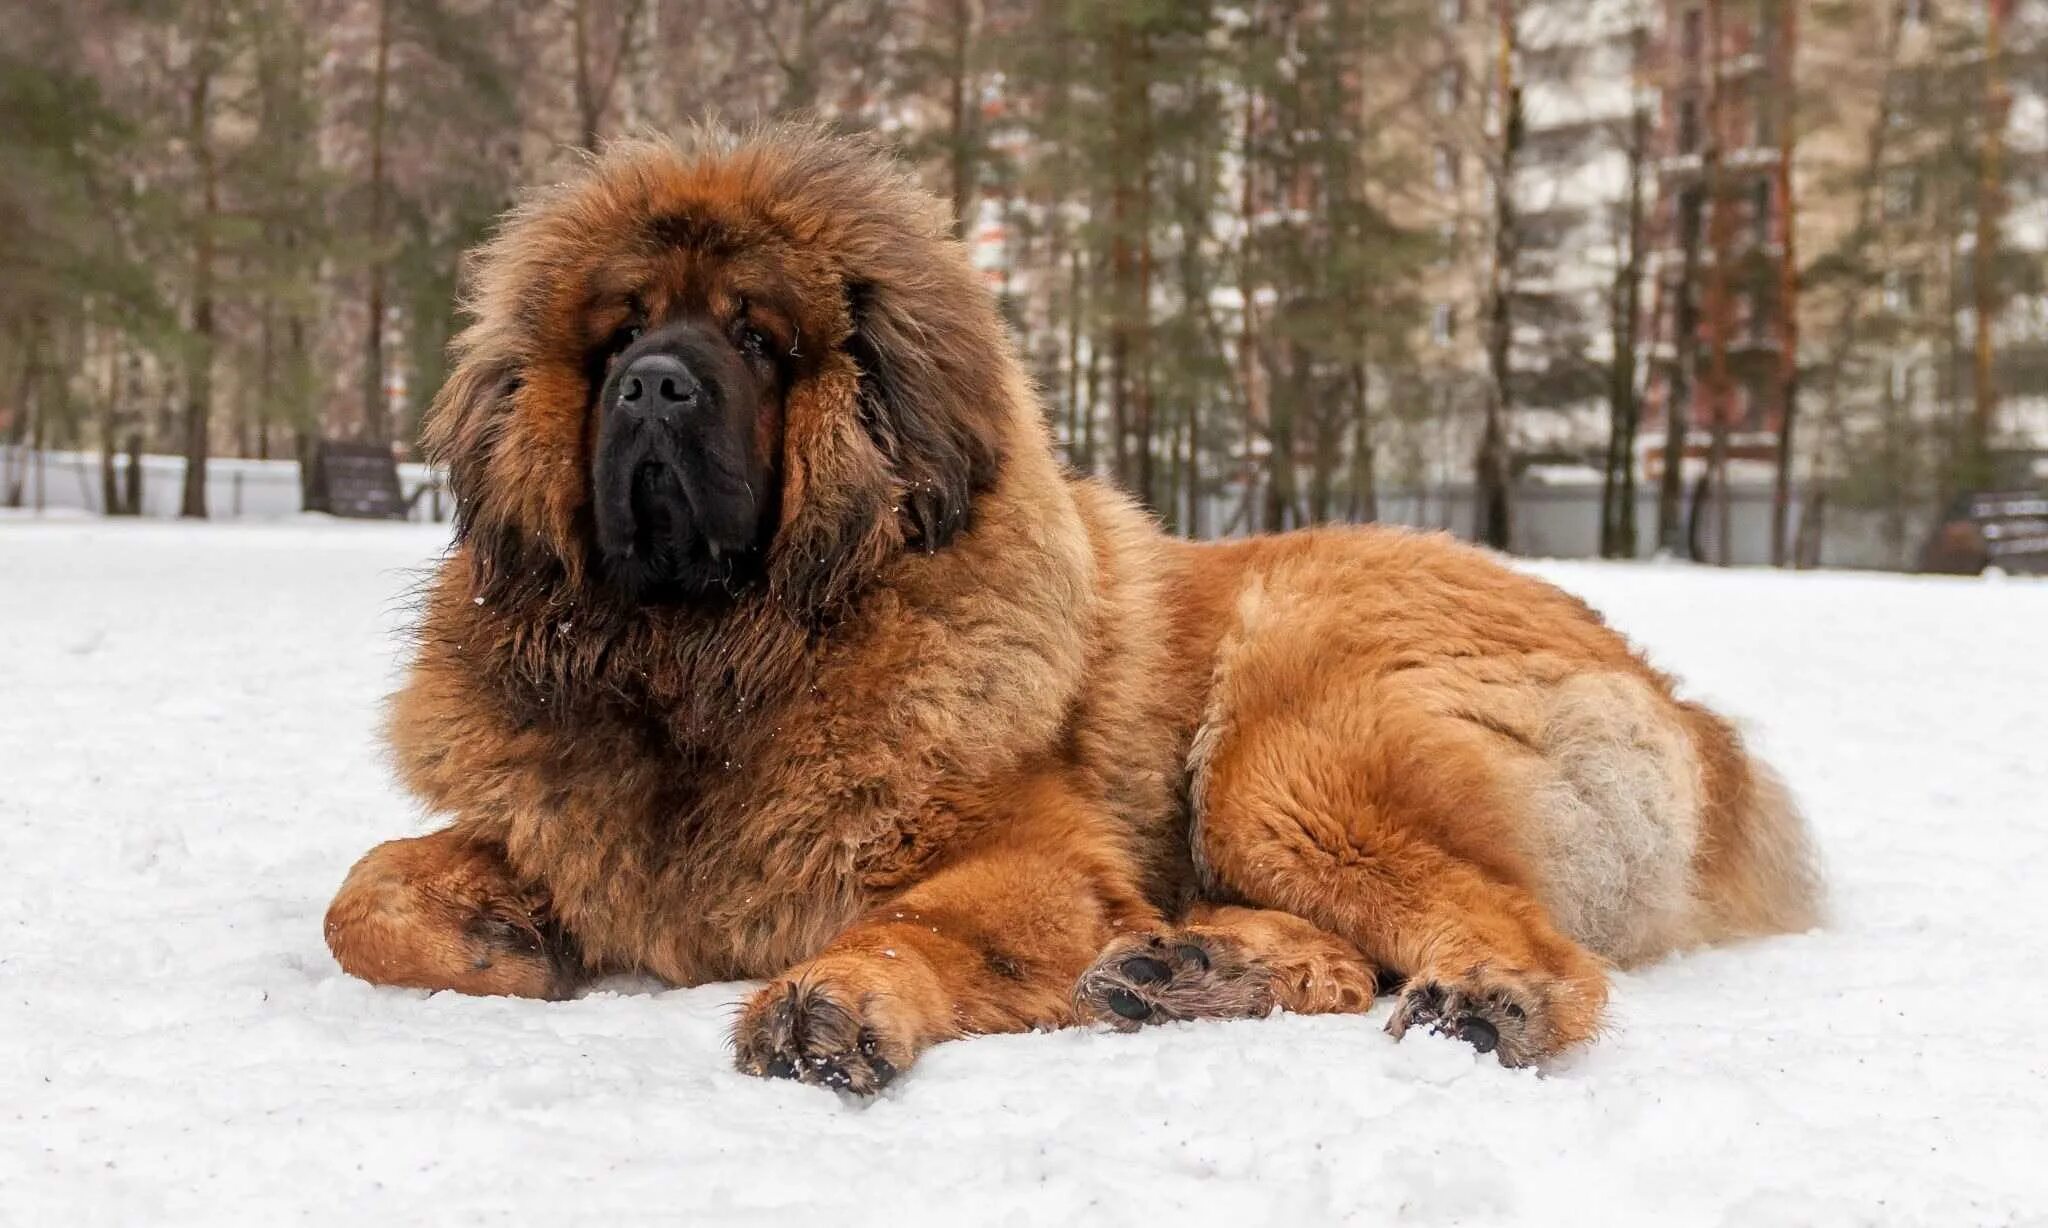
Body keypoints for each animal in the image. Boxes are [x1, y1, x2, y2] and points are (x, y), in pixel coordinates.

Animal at [323, 119, 1826, 1088]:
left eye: (755, 339)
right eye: (622, 335)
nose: (653, 385)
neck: (717, 665)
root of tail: (1697, 725)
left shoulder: (1035, 862)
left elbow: (908, 920)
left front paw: (832, 999)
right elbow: (360, 897)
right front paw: (501, 934)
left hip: (1288, 754)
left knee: (1524, 943)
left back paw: (1482, 998)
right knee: (1347, 960)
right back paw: (1193, 968)